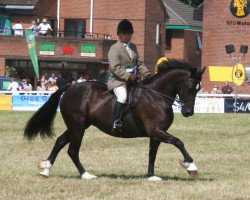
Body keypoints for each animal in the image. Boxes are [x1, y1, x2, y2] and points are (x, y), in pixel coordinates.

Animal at [23, 59, 205, 181]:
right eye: (190, 86)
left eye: (198, 89)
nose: (188, 112)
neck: (156, 96)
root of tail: (71, 86)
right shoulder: (156, 130)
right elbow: (178, 142)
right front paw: (191, 166)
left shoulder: (156, 133)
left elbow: (152, 154)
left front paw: (151, 176)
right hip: (78, 127)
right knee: (72, 150)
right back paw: (86, 175)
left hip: (77, 126)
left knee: (60, 142)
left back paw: (46, 170)